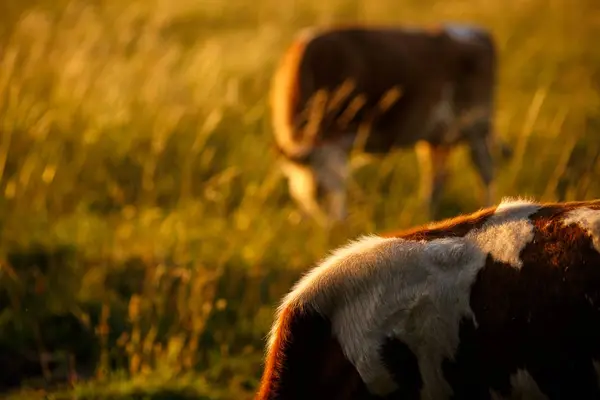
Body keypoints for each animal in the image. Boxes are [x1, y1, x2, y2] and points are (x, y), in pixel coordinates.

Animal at [270, 23, 510, 227]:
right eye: (319, 191)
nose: (337, 226)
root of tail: (474, 30)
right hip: (438, 135)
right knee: (436, 179)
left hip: (478, 127)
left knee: (485, 171)